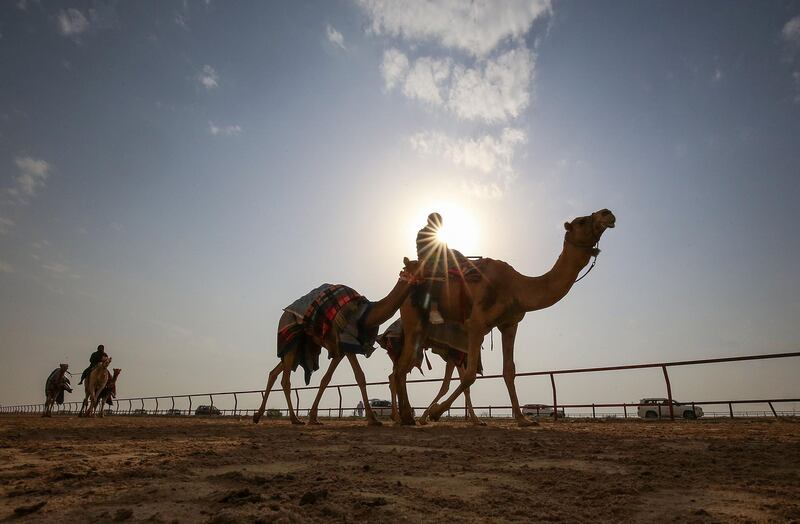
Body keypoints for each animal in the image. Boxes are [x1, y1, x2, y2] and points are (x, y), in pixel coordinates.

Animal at [253, 258, 422, 426]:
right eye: (417, 264)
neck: (364, 315)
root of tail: (285, 312)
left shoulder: (339, 348)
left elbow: (326, 379)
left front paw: (313, 418)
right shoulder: (346, 342)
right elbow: (360, 376)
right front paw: (373, 419)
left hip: (301, 344)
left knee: (274, 373)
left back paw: (258, 415)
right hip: (291, 336)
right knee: (285, 380)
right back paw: (294, 419)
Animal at [394, 209, 620, 426]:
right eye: (581, 221)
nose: (607, 213)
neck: (516, 287)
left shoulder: (509, 324)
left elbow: (509, 370)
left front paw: (523, 419)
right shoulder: (476, 324)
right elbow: (469, 376)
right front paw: (435, 412)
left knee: (402, 366)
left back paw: (406, 417)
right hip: (413, 318)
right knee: (402, 366)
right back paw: (406, 417)